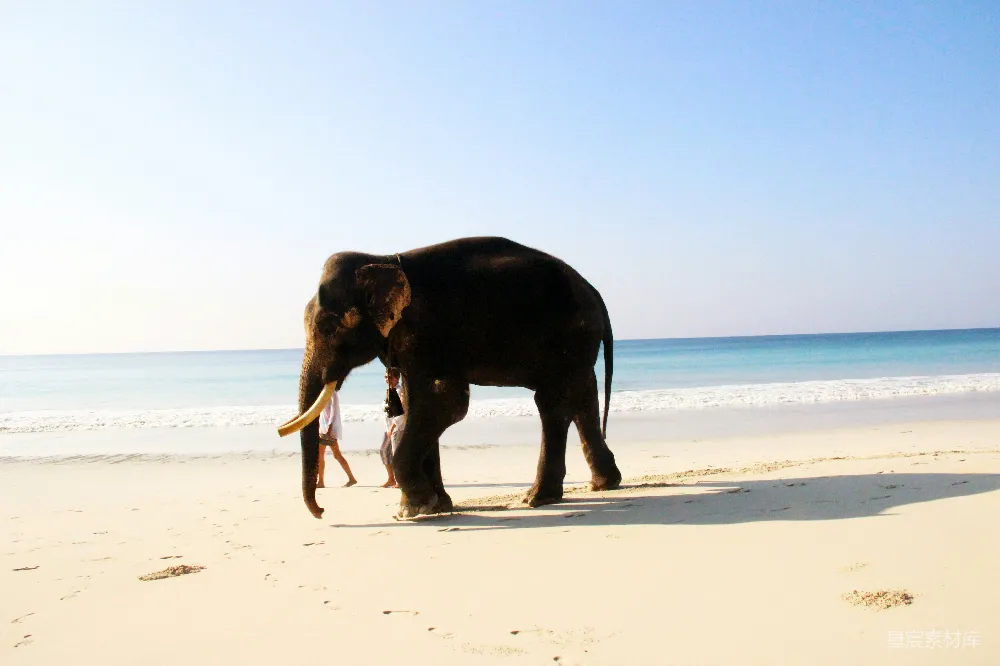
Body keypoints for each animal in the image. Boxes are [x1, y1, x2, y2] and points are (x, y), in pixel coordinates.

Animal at [278, 236, 622, 519]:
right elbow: (415, 403)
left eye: (328, 327)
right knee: (582, 397)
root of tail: (594, 291)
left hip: (570, 336)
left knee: (553, 403)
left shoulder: (429, 334)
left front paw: (415, 509)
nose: (322, 511)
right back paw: (602, 485)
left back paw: (536, 499)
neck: (384, 258)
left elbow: (446, 401)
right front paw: (435, 506)